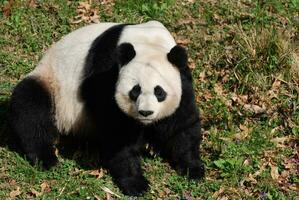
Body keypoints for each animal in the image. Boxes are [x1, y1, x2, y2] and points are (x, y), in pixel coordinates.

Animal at [9, 20, 206, 195]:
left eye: (159, 92)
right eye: (135, 90)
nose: (145, 112)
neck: (148, 42)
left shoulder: (182, 76)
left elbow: (182, 123)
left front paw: (193, 168)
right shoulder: (106, 70)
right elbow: (116, 129)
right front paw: (136, 183)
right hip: (52, 85)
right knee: (30, 106)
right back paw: (45, 158)